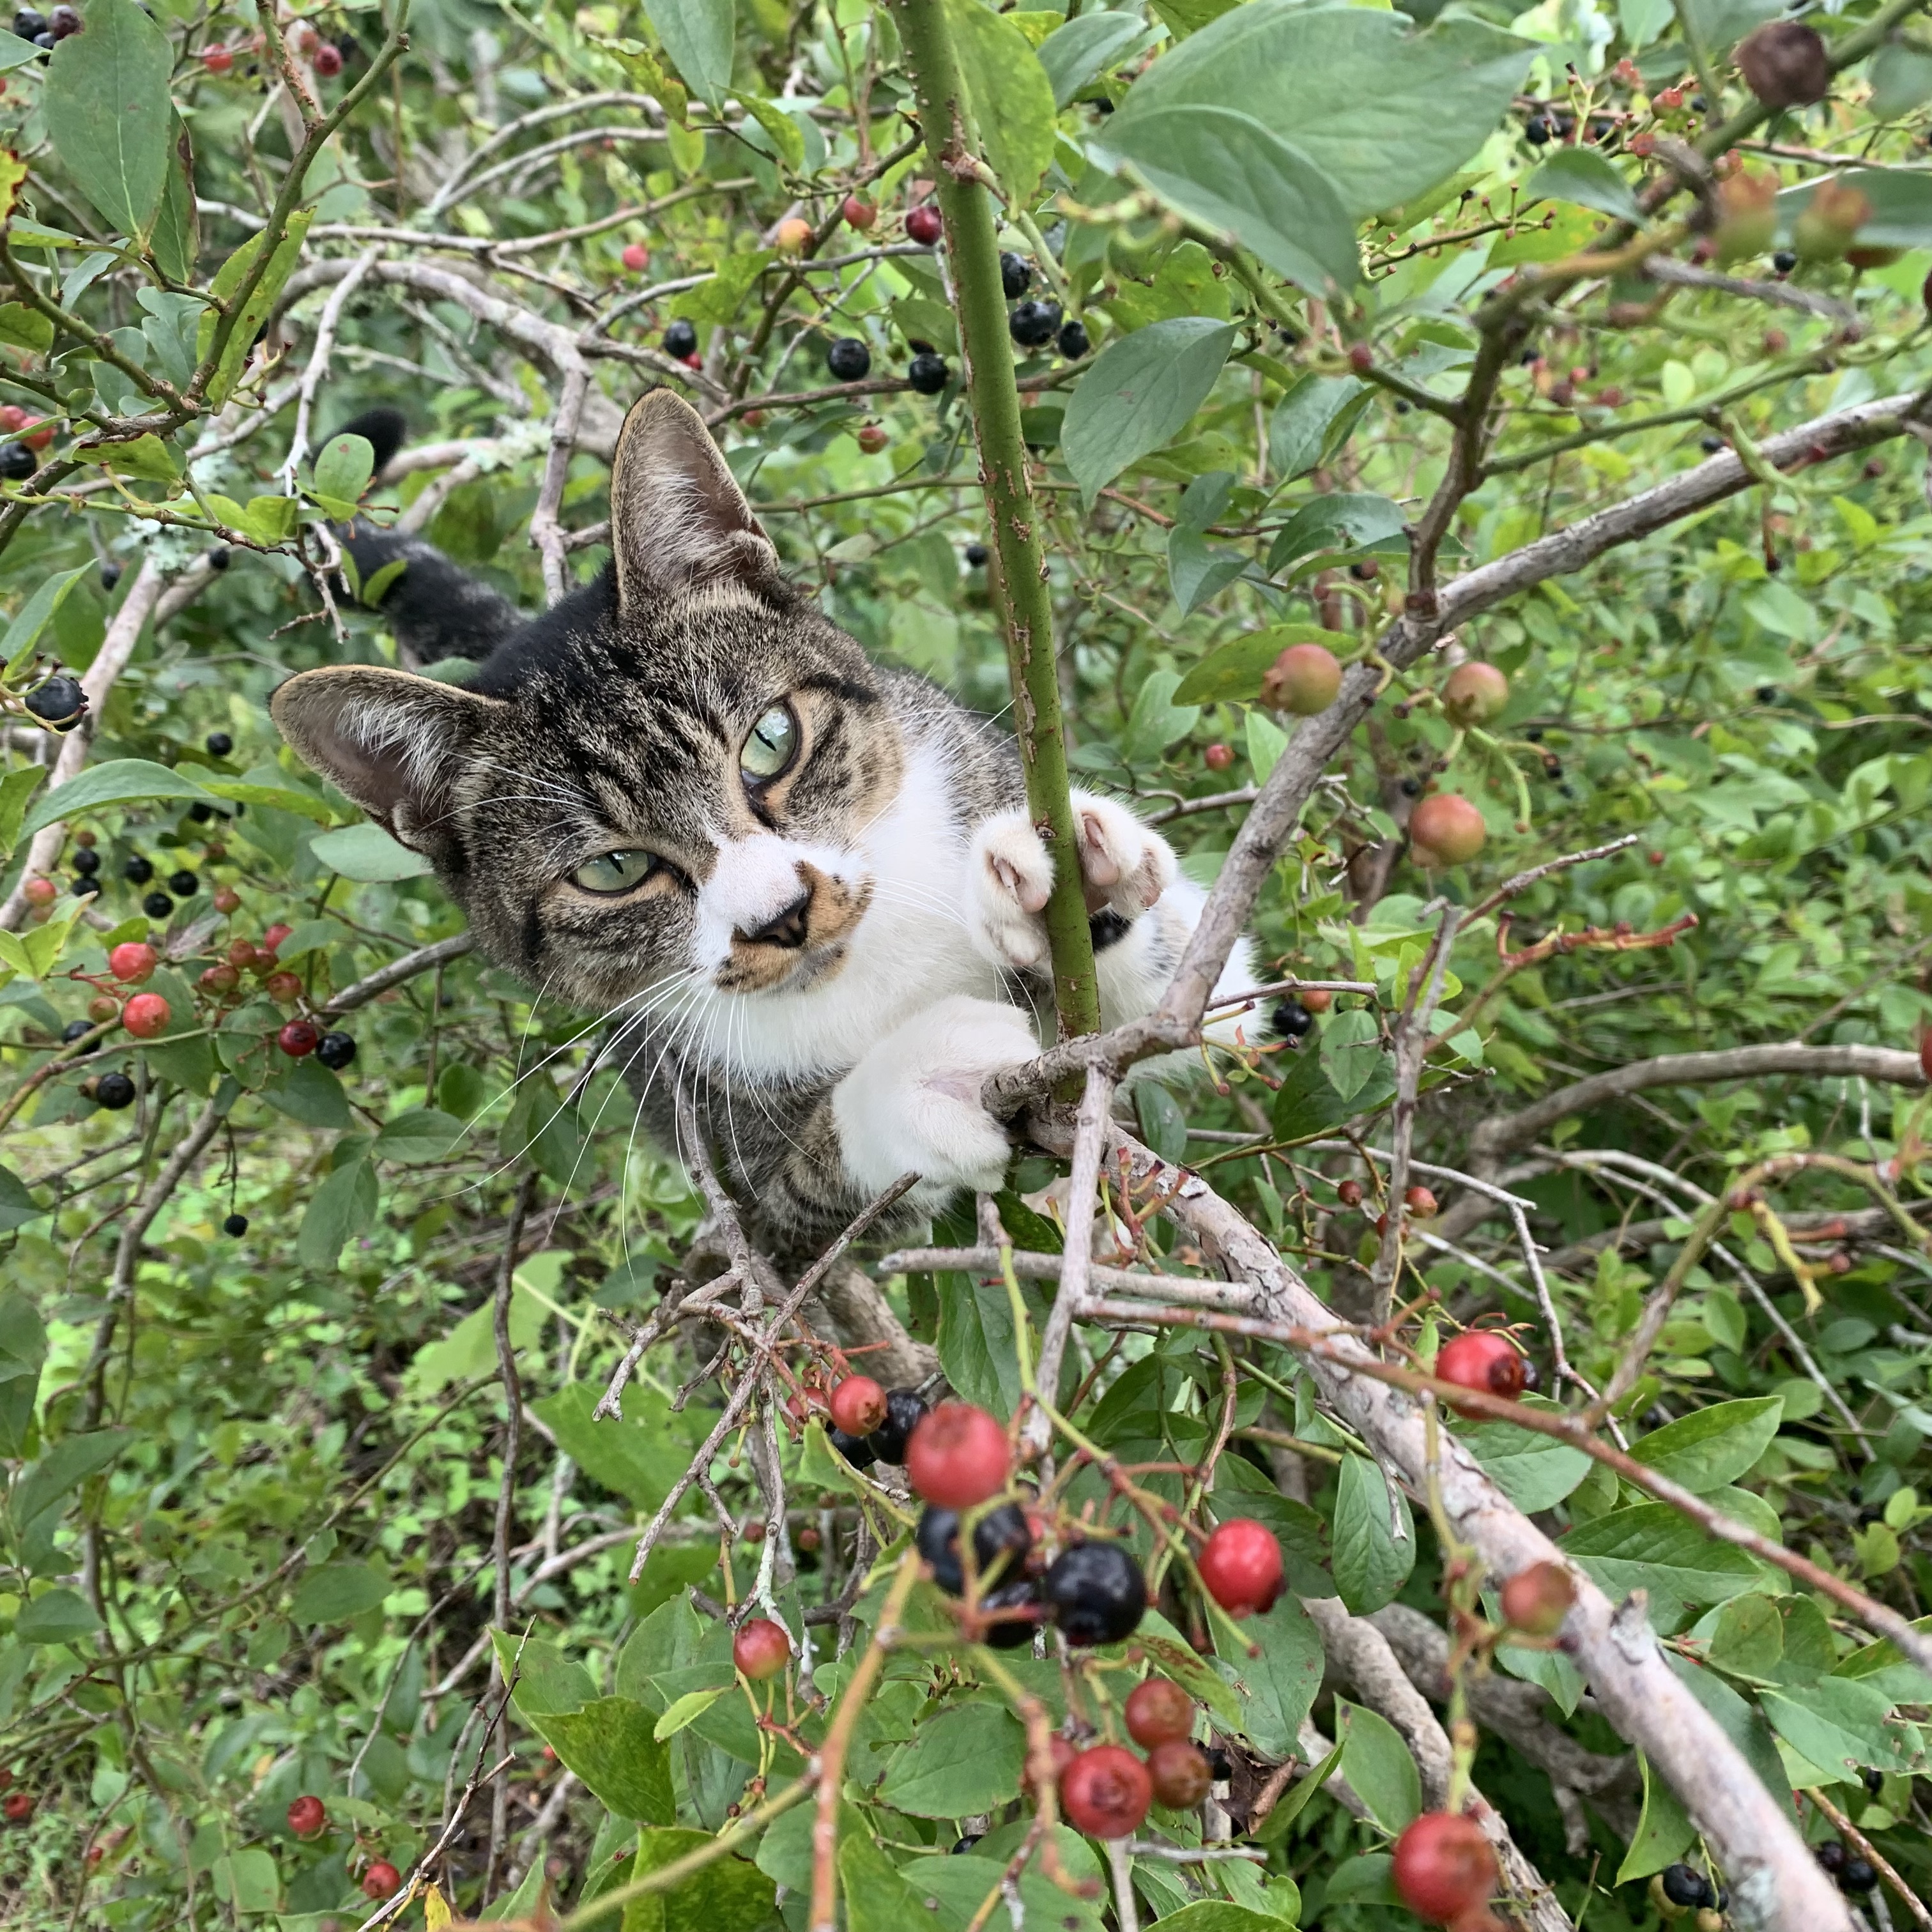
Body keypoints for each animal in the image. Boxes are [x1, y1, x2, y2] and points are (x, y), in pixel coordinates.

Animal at [276, 388, 1267, 1252]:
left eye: (770, 742)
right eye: (610, 870)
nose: (783, 915)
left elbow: (1203, 997)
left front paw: (1079, 892)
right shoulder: (734, 1162)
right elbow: (812, 1193)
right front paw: (925, 1076)